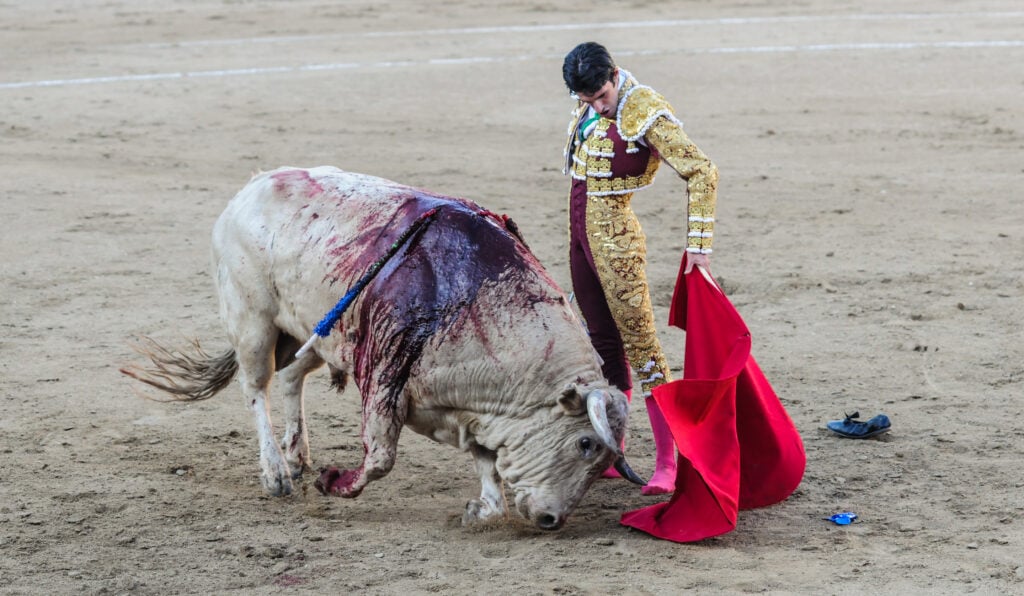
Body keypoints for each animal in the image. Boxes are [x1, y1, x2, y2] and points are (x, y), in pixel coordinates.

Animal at [123, 166, 643, 532]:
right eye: (585, 444)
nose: (553, 521)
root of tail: (250, 188)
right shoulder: (385, 377)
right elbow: (380, 457)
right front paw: (333, 482)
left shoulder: (472, 410)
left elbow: (486, 462)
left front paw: (479, 510)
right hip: (252, 321)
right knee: (256, 388)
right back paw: (276, 473)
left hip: (312, 330)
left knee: (291, 377)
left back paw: (297, 454)